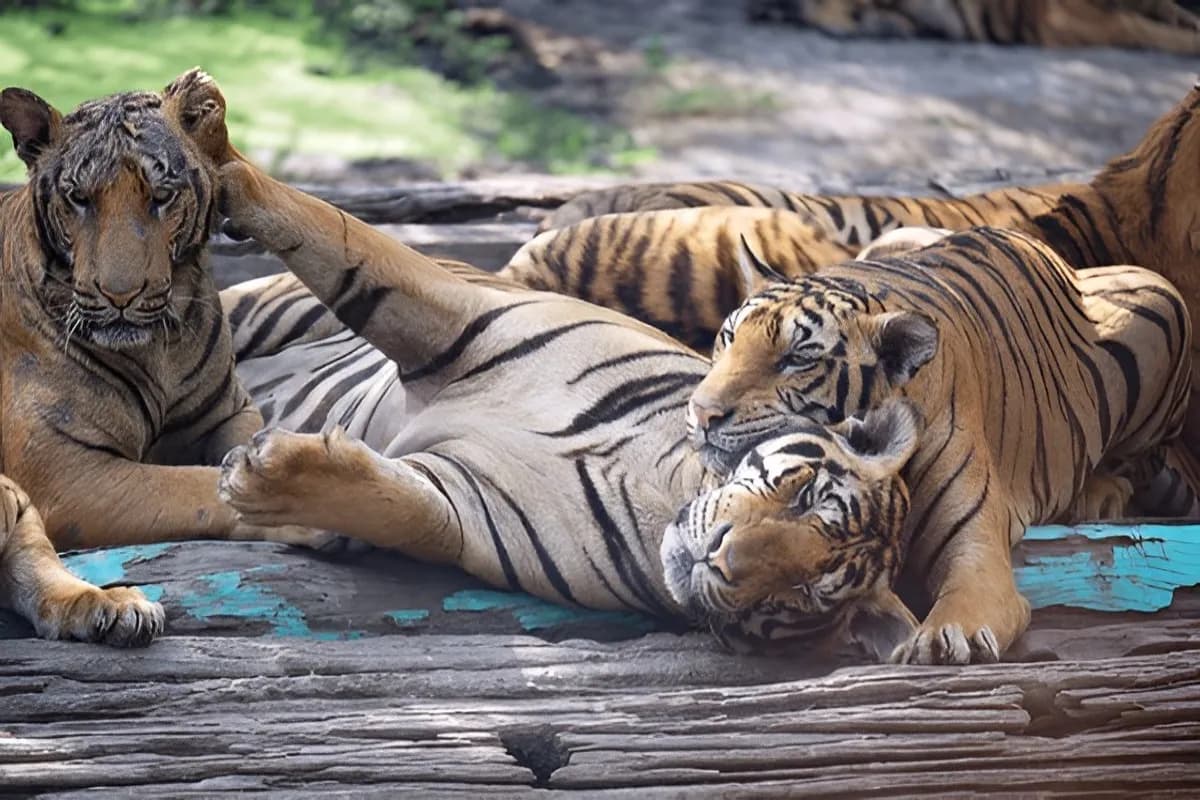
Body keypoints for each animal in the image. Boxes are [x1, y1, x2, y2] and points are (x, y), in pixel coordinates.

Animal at [0, 71, 312, 644]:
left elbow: (241, 453)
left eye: (161, 197)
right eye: (79, 198)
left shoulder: (229, 411)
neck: (157, 348)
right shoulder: (65, 474)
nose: (120, 295)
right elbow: (195, 486)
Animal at [211, 148, 930, 662]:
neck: (665, 483)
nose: (719, 560)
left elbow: (395, 505)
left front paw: (264, 476)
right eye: (806, 493)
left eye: (803, 594)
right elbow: (342, 237)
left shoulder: (462, 508)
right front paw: (218, 155)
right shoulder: (467, 316)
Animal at [685, 227, 1194, 663]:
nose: (701, 411)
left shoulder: (977, 549)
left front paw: (946, 638)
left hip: (1159, 300)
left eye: (797, 359)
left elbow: (965, 597)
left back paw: (1099, 495)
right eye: (728, 338)